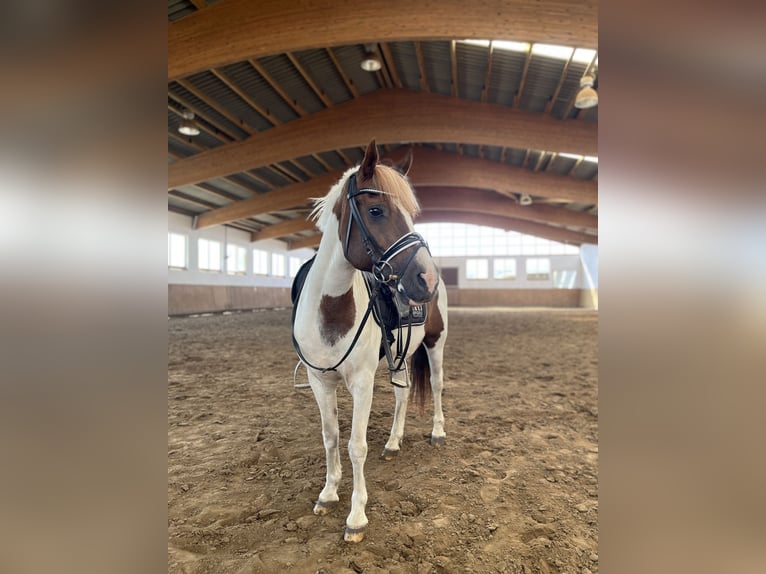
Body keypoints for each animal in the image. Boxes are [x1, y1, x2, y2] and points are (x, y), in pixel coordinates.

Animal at [292, 140, 450, 544]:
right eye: (376, 210)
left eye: (412, 214)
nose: (427, 279)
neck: (332, 311)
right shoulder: (320, 382)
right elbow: (331, 436)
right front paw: (328, 493)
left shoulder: (362, 383)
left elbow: (356, 446)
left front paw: (356, 516)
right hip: (401, 356)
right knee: (402, 396)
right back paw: (393, 443)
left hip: (435, 343)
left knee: (437, 385)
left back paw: (438, 432)